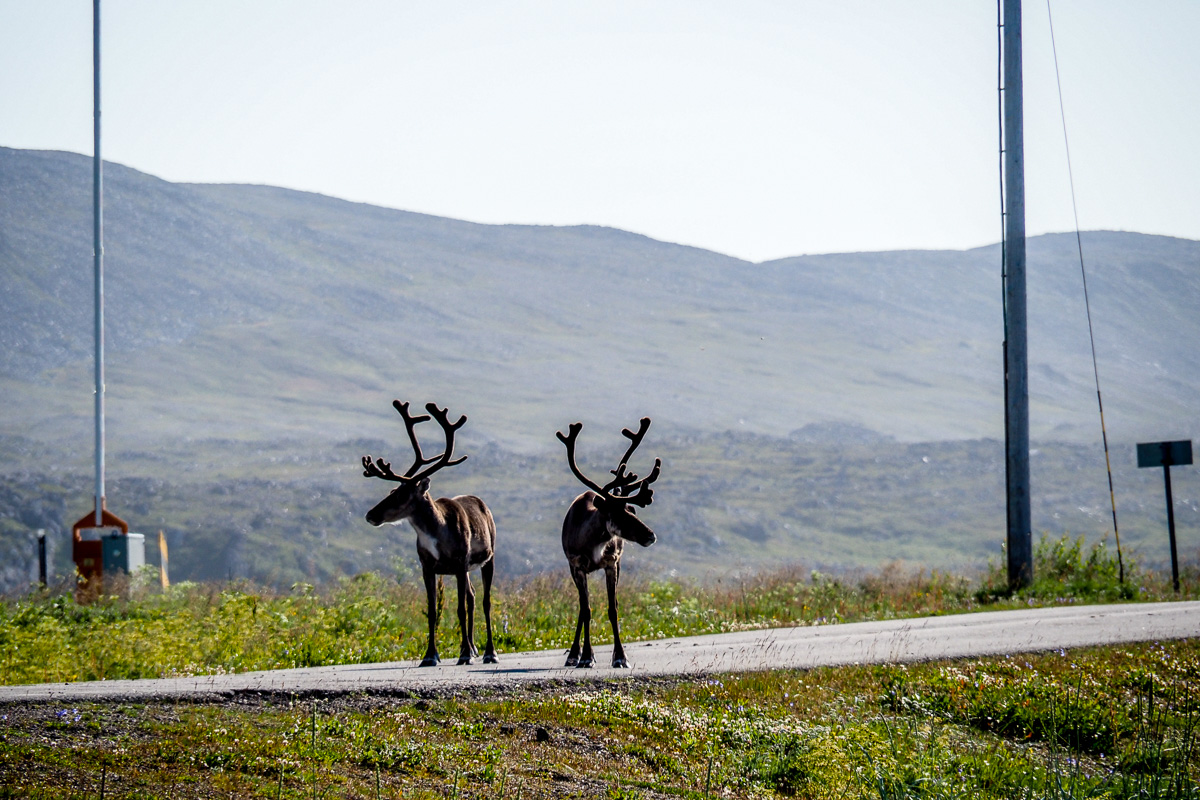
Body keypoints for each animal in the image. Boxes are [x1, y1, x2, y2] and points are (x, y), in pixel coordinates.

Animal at [362, 400, 498, 667]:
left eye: (401, 494)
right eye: (391, 490)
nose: (371, 515)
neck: (436, 534)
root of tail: (481, 503)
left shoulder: (460, 561)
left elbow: (459, 609)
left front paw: (463, 654)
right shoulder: (427, 566)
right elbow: (433, 611)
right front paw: (430, 656)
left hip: (487, 558)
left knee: (484, 601)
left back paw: (488, 652)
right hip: (467, 569)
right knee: (473, 596)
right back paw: (474, 648)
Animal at [556, 417, 662, 668]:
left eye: (631, 509)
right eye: (618, 514)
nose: (650, 535)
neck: (592, 544)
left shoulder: (611, 564)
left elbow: (613, 608)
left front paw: (621, 657)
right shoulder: (576, 566)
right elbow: (586, 610)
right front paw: (585, 656)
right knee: (582, 607)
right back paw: (573, 655)